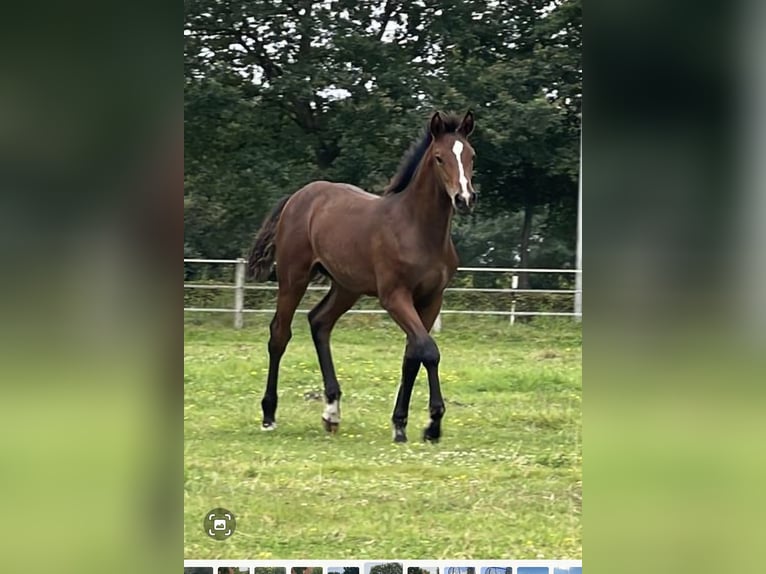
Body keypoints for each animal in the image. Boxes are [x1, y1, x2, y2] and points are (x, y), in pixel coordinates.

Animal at [249, 112, 476, 446]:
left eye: (471, 156)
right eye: (438, 157)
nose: (464, 199)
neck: (417, 229)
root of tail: (299, 196)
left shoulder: (431, 298)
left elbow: (413, 354)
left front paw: (400, 425)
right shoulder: (394, 297)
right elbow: (428, 350)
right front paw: (433, 424)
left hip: (346, 286)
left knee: (320, 322)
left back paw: (332, 413)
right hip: (294, 277)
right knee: (279, 333)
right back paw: (269, 415)